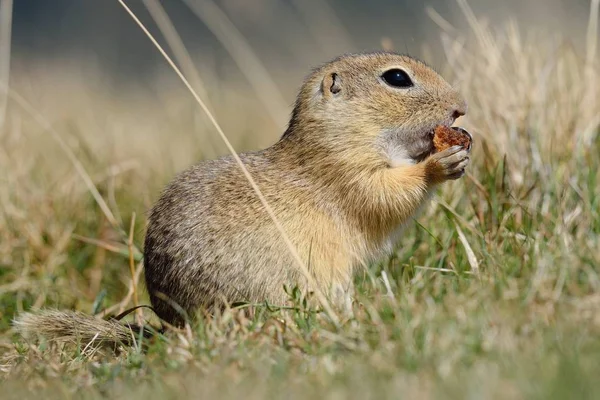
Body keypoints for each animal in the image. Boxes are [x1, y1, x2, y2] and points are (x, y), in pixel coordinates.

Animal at [14, 50, 472, 344]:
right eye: (397, 78)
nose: (461, 107)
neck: (337, 134)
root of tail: (177, 327)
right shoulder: (347, 170)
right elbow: (385, 195)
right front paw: (440, 163)